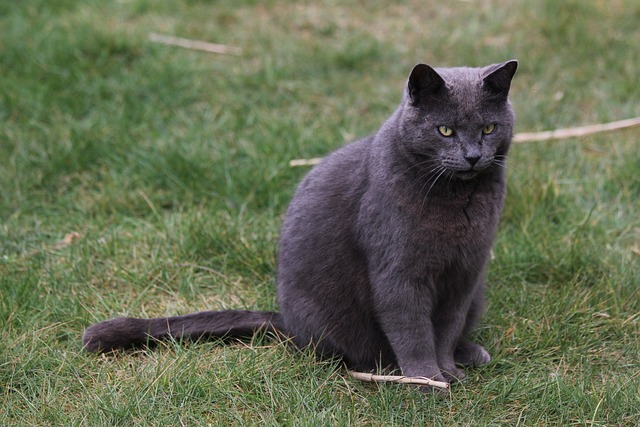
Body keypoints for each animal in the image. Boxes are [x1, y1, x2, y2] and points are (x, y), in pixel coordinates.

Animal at [82, 61, 516, 388]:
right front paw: (427, 381)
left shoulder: (465, 273)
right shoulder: (399, 273)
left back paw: (471, 353)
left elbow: (446, 327)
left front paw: (448, 371)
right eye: (445, 130)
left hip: (479, 290)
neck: (458, 199)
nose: (474, 156)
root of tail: (286, 320)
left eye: (488, 128)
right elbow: (412, 330)